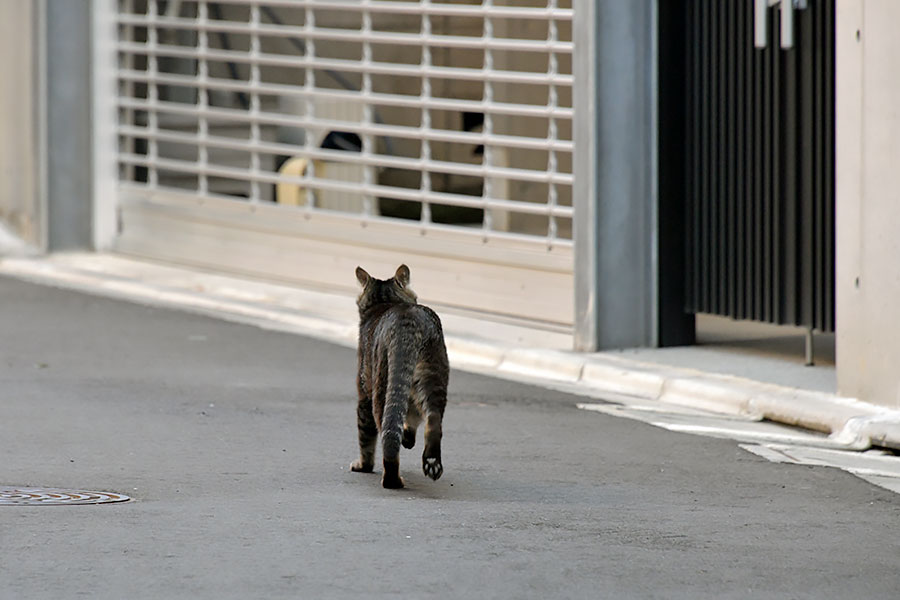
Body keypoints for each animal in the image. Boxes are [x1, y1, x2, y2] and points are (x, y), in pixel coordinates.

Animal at [352, 264, 450, 490]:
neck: (386, 301)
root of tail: (407, 320)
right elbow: (412, 418)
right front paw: (408, 437)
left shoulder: (364, 393)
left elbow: (365, 438)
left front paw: (363, 465)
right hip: (432, 375)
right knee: (432, 419)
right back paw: (432, 462)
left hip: (381, 386)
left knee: (387, 433)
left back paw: (392, 480)